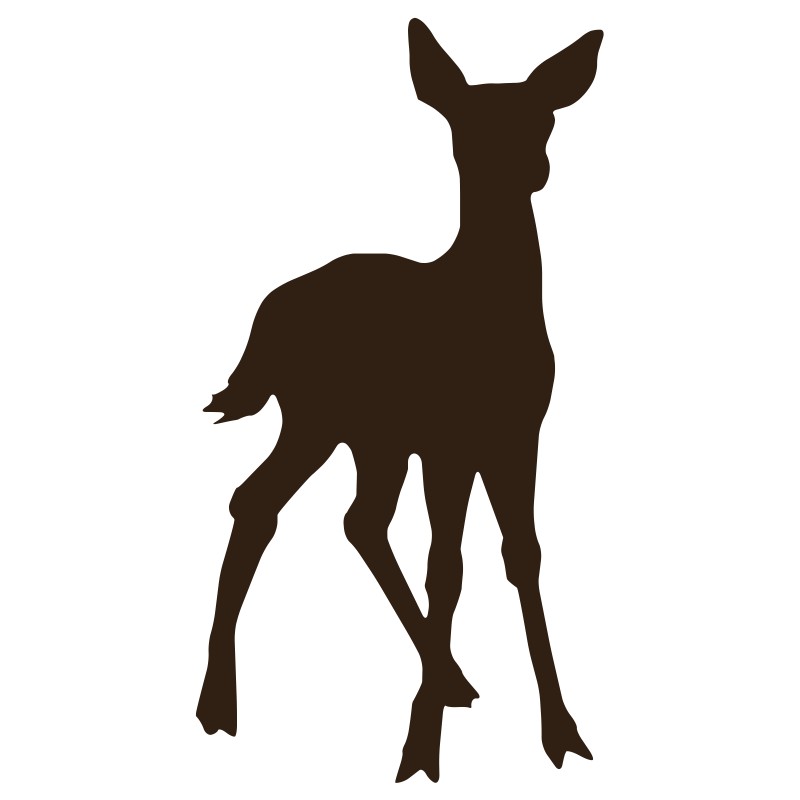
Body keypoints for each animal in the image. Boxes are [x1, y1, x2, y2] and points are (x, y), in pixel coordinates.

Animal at [196, 18, 603, 783]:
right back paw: (217, 705)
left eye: (543, 117)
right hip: (319, 417)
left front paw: (563, 733)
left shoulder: (517, 432)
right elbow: (447, 566)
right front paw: (419, 748)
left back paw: (453, 679)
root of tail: (267, 319)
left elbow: (522, 554)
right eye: (464, 123)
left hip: (367, 436)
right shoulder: (447, 440)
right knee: (267, 502)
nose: (528, 170)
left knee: (348, 517)